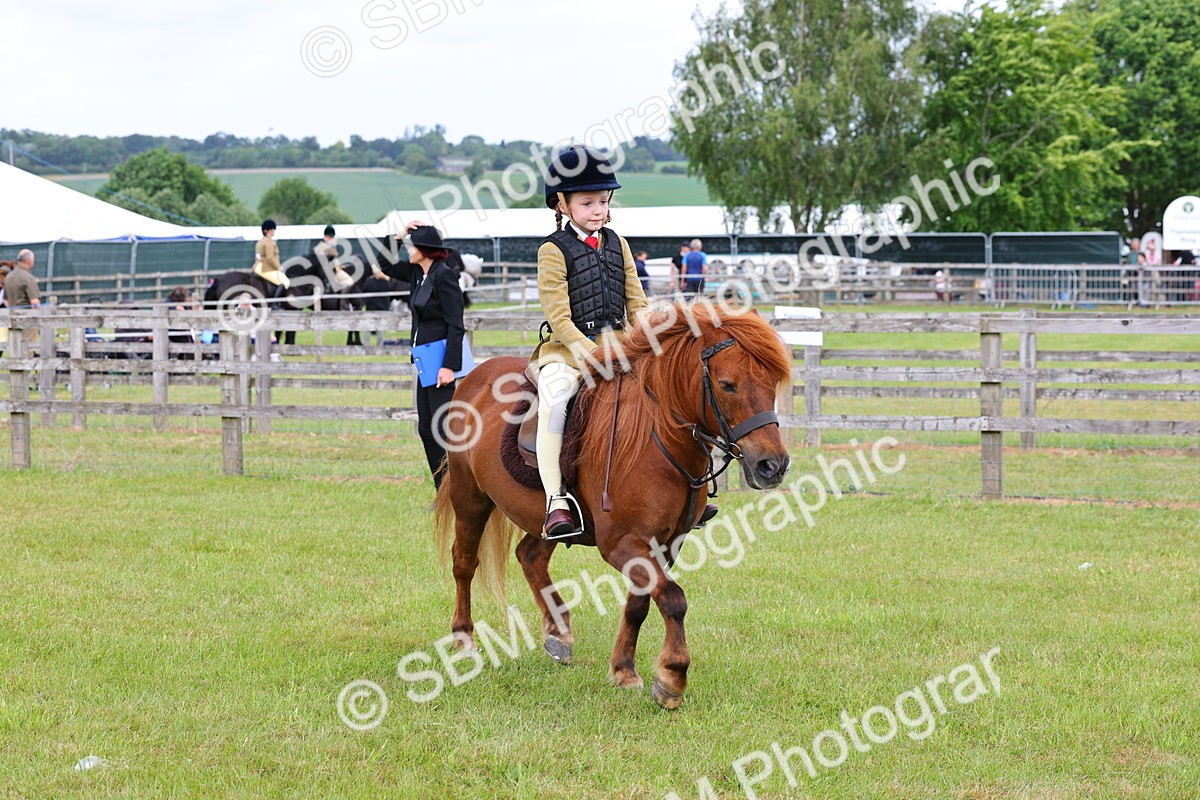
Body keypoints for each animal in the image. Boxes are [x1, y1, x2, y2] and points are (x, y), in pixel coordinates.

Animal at [432, 300, 792, 709]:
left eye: (772, 384)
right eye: (728, 385)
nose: (773, 465)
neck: (656, 435)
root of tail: (475, 376)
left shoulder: (662, 544)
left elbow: (640, 604)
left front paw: (624, 669)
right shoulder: (622, 543)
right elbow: (673, 598)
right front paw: (671, 676)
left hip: (547, 517)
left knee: (531, 556)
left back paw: (558, 634)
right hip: (470, 497)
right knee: (464, 563)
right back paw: (464, 639)